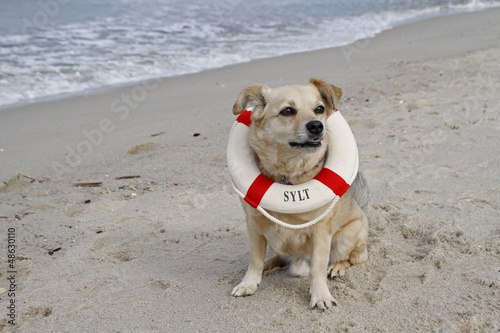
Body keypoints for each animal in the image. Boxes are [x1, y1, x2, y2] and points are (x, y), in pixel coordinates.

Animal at [232, 78, 370, 308]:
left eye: (319, 109)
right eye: (288, 111)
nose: (317, 126)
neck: (288, 176)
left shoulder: (320, 233)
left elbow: (318, 267)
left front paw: (321, 296)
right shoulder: (254, 226)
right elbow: (255, 260)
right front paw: (249, 283)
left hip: (345, 238)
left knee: (351, 258)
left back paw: (337, 267)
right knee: (276, 258)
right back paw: (270, 263)